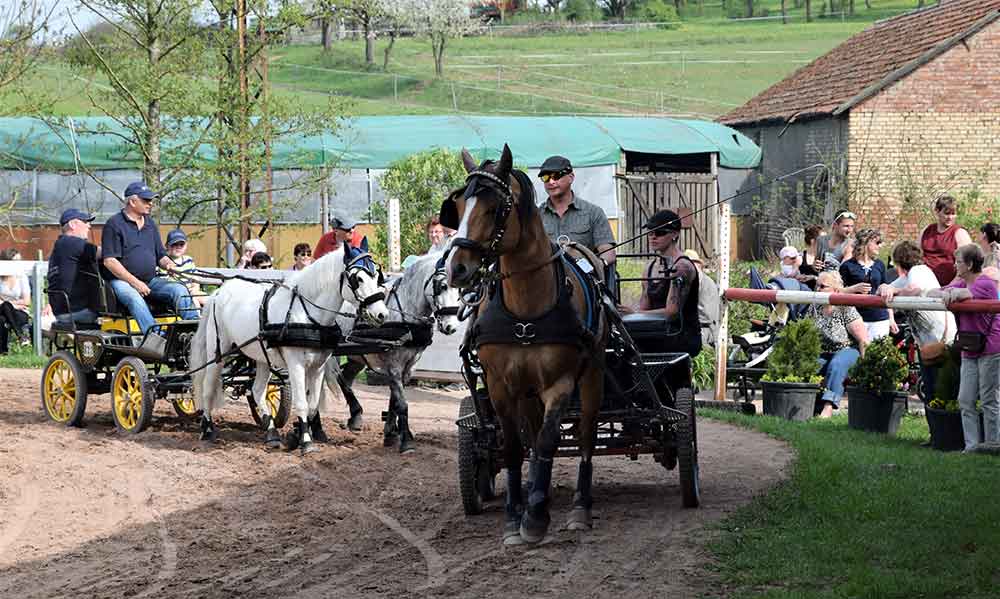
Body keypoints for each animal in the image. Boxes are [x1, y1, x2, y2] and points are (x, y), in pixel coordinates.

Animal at [326, 252, 462, 454]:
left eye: (460, 289)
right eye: (442, 286)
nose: (451, 327)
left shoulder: (409, 366)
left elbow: (394, 399)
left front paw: (391, 433)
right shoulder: (394, 364)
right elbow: (402, 403)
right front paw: (406, 442)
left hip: (357, 356)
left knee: (345, 377)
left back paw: (354, 417)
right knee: (335, 377)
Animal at [440, 146, 608, 548]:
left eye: (495, 208)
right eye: (459, 205)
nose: (457, 270)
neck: (525, 308)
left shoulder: (560, 383)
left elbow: (548, 442)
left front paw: (535, 519)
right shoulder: (501, 385)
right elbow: (516, 448)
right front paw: (514, 517)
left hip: (591, 376)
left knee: (586, 436)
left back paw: (579, 507)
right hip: (527, 390)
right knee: (530, 435)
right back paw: (535, 491)